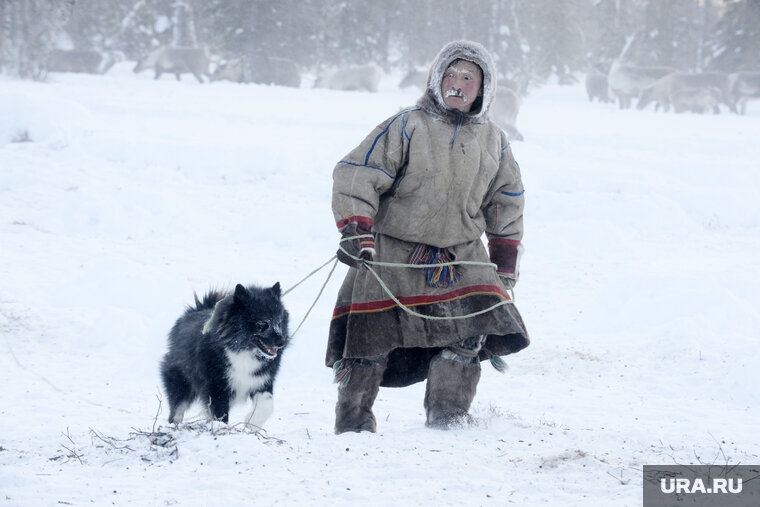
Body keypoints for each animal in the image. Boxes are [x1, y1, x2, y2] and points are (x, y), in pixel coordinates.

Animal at [160, 284, 290, 426]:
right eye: (263, 324)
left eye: (279, 323)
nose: (282, 341)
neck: (243, 351)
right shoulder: (217, 387)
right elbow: (220, 414)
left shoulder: (260, 382)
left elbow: (266, 406)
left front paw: (251, 425)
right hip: (181, 382)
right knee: (177, 409)